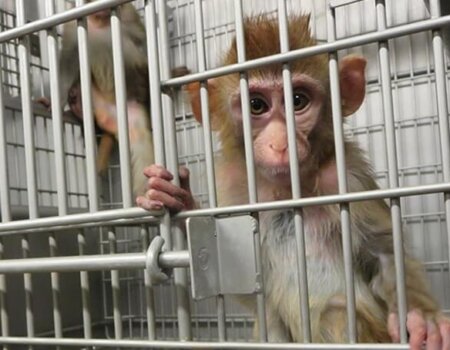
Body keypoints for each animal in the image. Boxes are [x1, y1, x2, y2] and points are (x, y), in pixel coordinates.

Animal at [137, 13, 450, 348]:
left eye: (298, 100)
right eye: (256, 105)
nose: (281, 142)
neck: (285, 191)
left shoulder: (347, 177)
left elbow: (385, 253)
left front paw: (423, 317)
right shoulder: (235, 187)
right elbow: (242, 283)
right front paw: (175, 197)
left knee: (335, 314)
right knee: (272, 319)